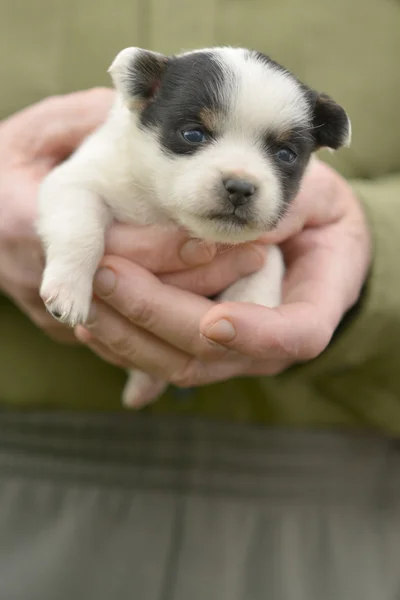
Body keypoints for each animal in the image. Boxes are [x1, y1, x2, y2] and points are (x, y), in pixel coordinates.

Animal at [37, 47, 350, 408]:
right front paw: (68, 291)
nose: (240, 187)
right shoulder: (75, 181)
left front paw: (253, 303)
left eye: (286, 154)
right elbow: (82, 231)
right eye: (193, 134)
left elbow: (269, 258)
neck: (167, 213)